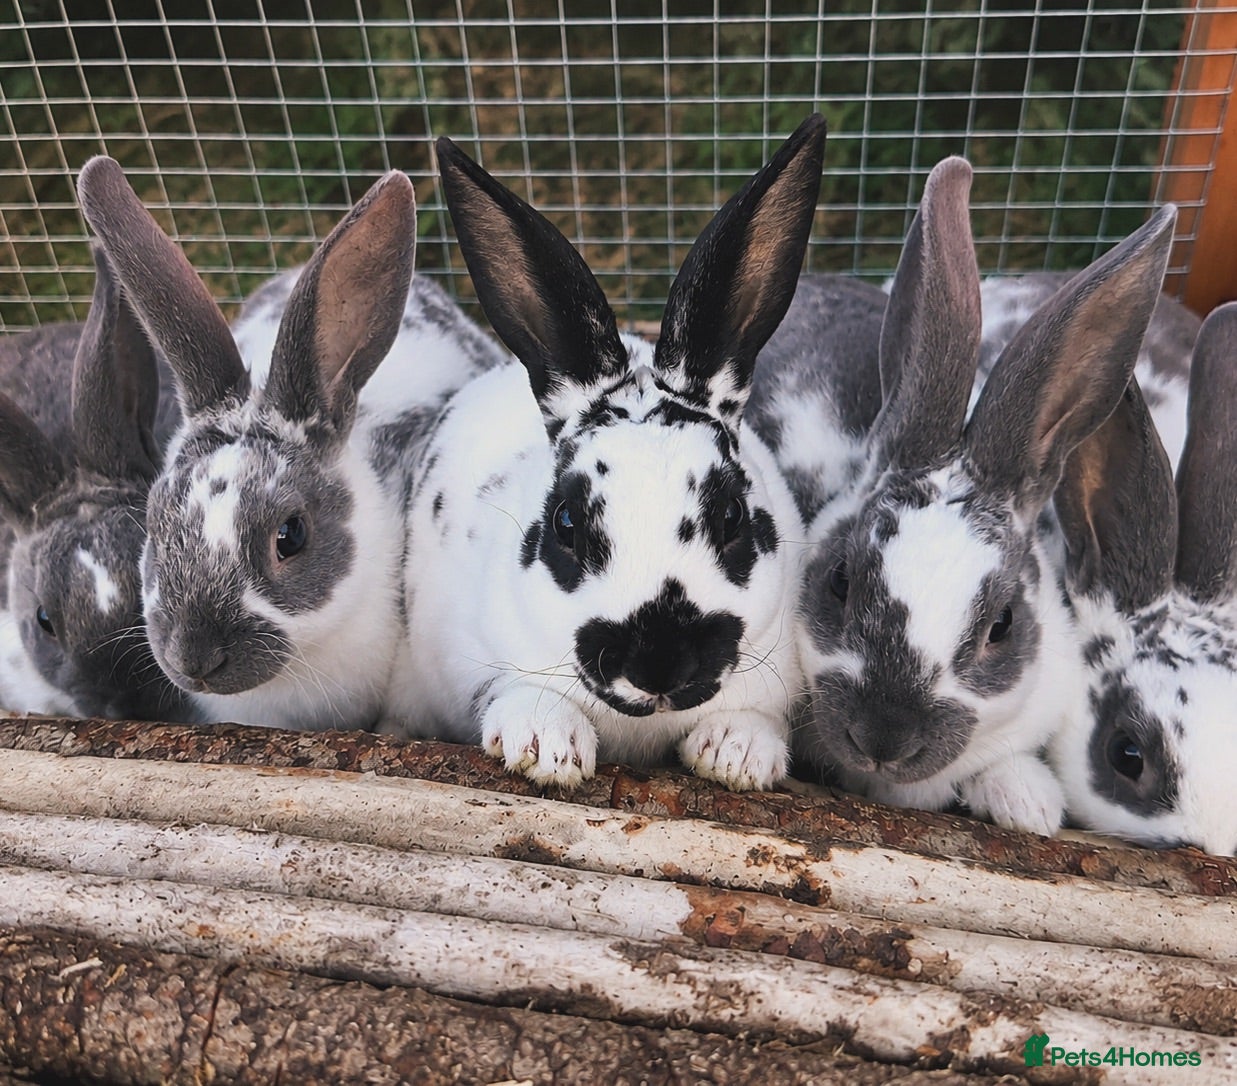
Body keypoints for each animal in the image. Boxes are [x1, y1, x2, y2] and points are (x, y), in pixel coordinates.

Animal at [388, 114, 829, 790]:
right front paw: (546, 746)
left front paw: (737, 755)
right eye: (566, 524)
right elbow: (513, 694)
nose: (659, 663)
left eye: (731, 517)